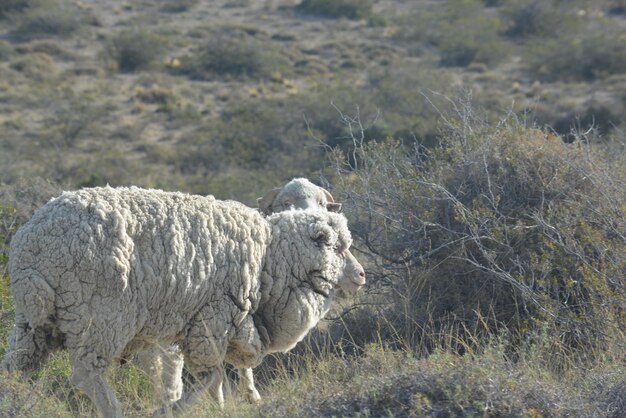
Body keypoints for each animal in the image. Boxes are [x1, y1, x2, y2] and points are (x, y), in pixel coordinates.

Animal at [1, 187, 360, 418]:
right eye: (339, 247)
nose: (361, 275)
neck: (270, 258)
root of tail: (31, 248)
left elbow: (205, 377)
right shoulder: (212, 321)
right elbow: (210, 377)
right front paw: (168, 410)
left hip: (33, 322)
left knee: (15, 365)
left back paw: (13, 401)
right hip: (99, 317)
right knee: (87, 372)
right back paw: (113, 410)